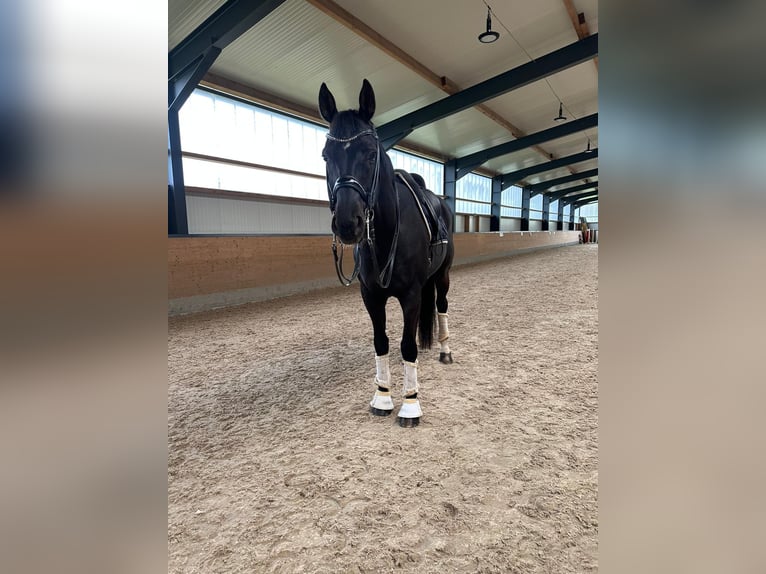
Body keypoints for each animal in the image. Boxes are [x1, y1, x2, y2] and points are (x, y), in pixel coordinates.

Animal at [320, 80, 456, 428]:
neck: (387, 234)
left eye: (370, 153)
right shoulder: (371, 296)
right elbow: (381, 341)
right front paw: (382, 397)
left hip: (443, 277)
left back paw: (445, 351)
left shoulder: (410, 295)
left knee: (441, 307)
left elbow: (407, 345)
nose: (347, 223)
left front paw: (410, 404)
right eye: (326, 155)